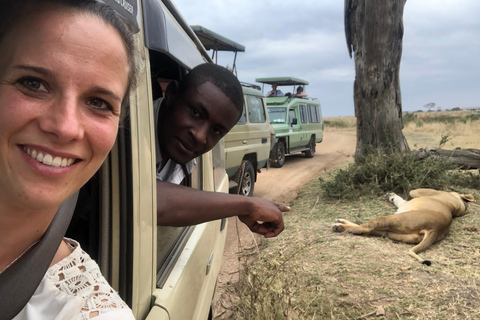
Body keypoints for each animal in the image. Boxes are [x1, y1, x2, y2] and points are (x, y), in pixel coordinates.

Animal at [332, 188, 474, 264]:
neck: (458, 206)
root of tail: (436, 229)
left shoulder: (418, 193)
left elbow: (410, 192)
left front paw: (391, 195)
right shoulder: (405, 204)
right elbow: (400, 200)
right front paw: (391, 196)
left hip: (392, 219)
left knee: (365, 228)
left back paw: (339, 226)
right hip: (391, 230)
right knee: (368, 230)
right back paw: (341, 222)